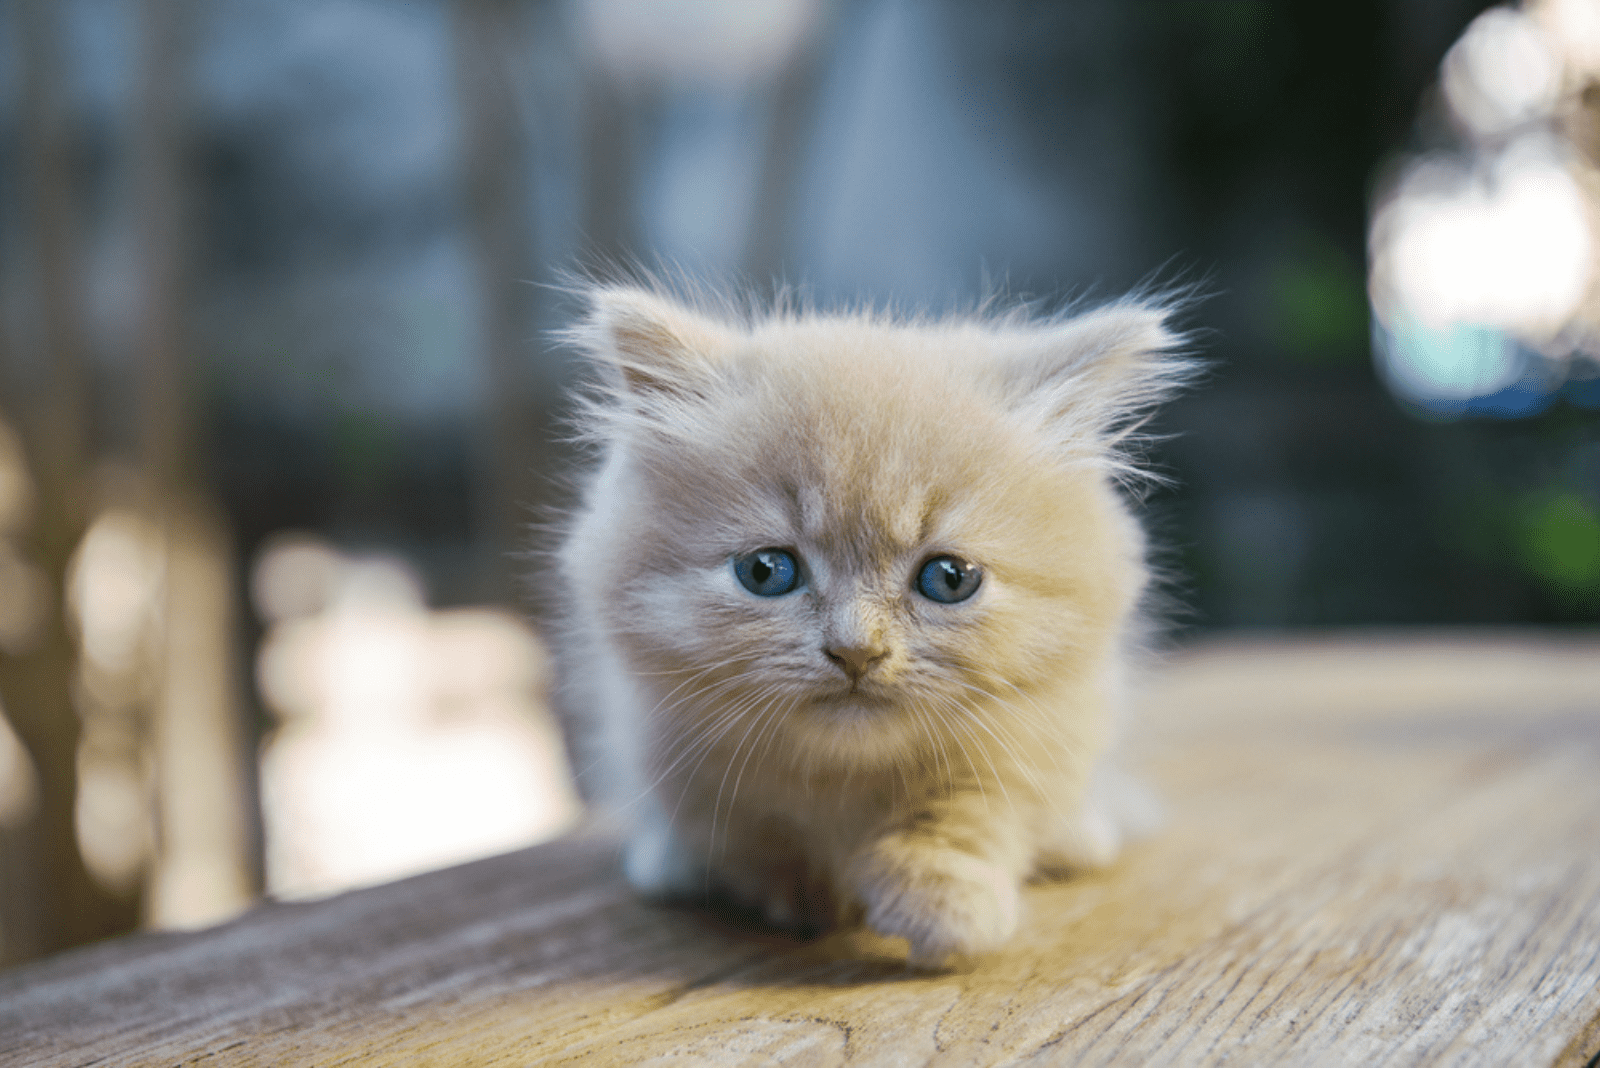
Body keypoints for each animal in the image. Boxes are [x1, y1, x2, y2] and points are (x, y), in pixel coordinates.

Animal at [550, 279, 1190, 965]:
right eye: (766, 571)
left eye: (950, 579)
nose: (857, 650)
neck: (846, 780)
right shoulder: (670, 746)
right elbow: (759, 838)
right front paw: (808, 895)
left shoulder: (1036, 735)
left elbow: (970, 815)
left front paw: (944, 905)